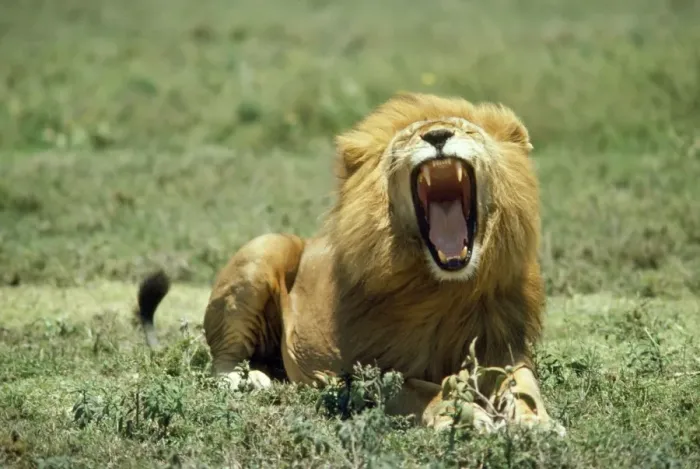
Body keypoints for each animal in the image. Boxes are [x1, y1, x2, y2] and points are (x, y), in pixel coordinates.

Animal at [135, 92, 560, 433]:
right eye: (408, 137)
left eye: (468, 131)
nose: (437, 136)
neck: (444, 286)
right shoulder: (364, 373)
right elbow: (422, 390)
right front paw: (462, 416)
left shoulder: (504, 346)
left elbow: (524, 385)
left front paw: (536, 423)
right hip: (262, 250)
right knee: (222, 361)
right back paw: (247, 380)